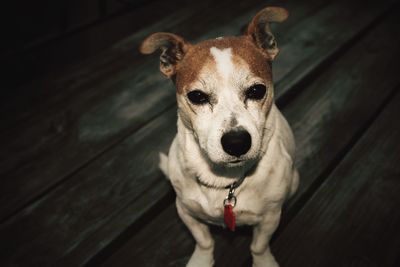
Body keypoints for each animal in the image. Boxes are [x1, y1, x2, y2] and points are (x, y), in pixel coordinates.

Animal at [139, 6, 298, 267]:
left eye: (257, 90)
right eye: (197, 96)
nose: (237, 142)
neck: (225, 181)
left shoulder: (270, 218)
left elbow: (259, 246)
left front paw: (263, 261)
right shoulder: (186, 212)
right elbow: (204, 241)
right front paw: (202, 260)